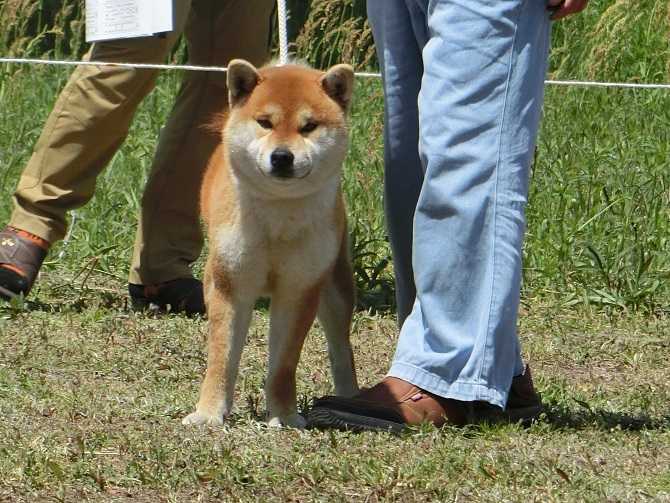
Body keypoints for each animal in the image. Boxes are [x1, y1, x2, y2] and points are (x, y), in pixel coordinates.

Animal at [182, 60, 359, 428]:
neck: (279, 216)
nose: (282, 156)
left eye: (309, 126)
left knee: (340, 348)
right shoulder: (228, 285)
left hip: (336, 286)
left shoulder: (299, 289)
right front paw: (209, 413)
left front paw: (285, 416)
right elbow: (221, 358)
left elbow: (284, 365)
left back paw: (350, 399)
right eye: (265, 122)